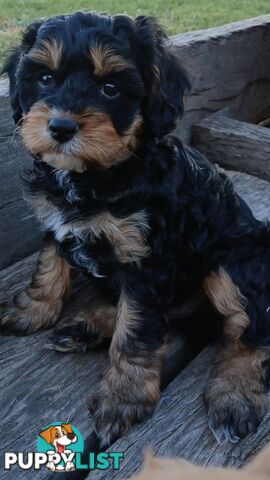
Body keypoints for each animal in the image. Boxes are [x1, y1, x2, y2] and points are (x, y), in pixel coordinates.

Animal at [1, 10, 270, 446]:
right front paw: (32, 309)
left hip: (234, 263)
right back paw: (87, 327)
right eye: (44, 79)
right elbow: (48, 265)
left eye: (111, 88)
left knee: (249, 330)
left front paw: (124, 398)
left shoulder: (146, 260)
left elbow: (137, 329)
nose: (60, 127)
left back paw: (235, 395)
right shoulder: (57, 218)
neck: (100, 173)